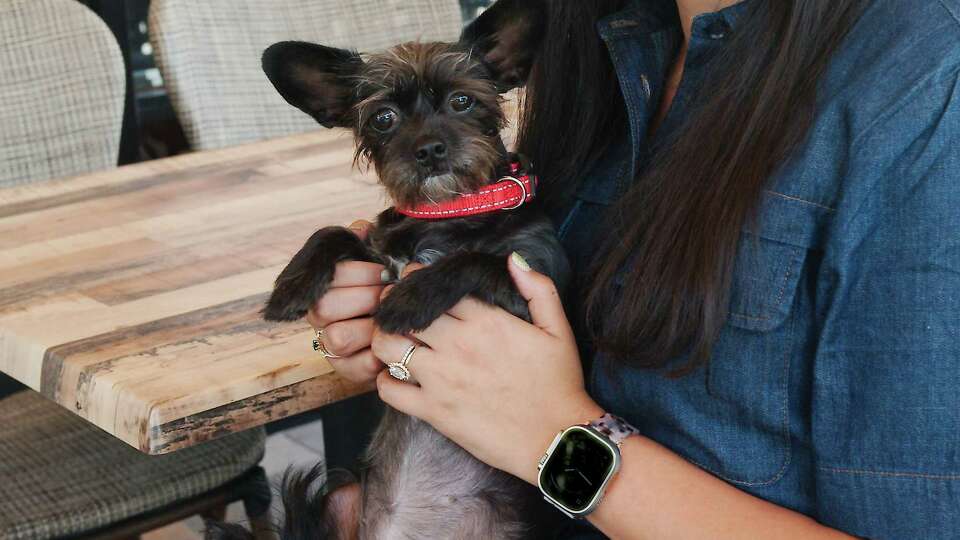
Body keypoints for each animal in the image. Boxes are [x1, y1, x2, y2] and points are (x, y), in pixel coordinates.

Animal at [205, 2, 568, 536]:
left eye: (462, 100)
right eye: (383, 118)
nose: (430, 149)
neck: (448, 215)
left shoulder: (535, 284)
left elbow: (477, 259)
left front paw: (409, 300)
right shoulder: (378, 254)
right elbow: (334, 231)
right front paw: (290, 288)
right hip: (339, 497)